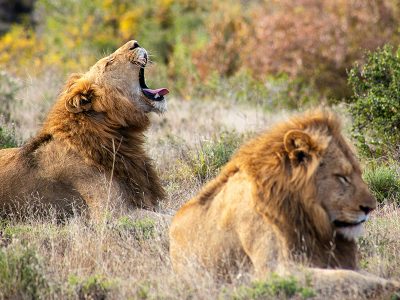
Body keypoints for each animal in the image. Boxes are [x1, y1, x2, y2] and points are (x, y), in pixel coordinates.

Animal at [170, 109, 400, 298]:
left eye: (358, 173)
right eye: (342, 177)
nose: (370, 208)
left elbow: (360, 274)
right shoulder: (275, 270)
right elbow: (347, 277)